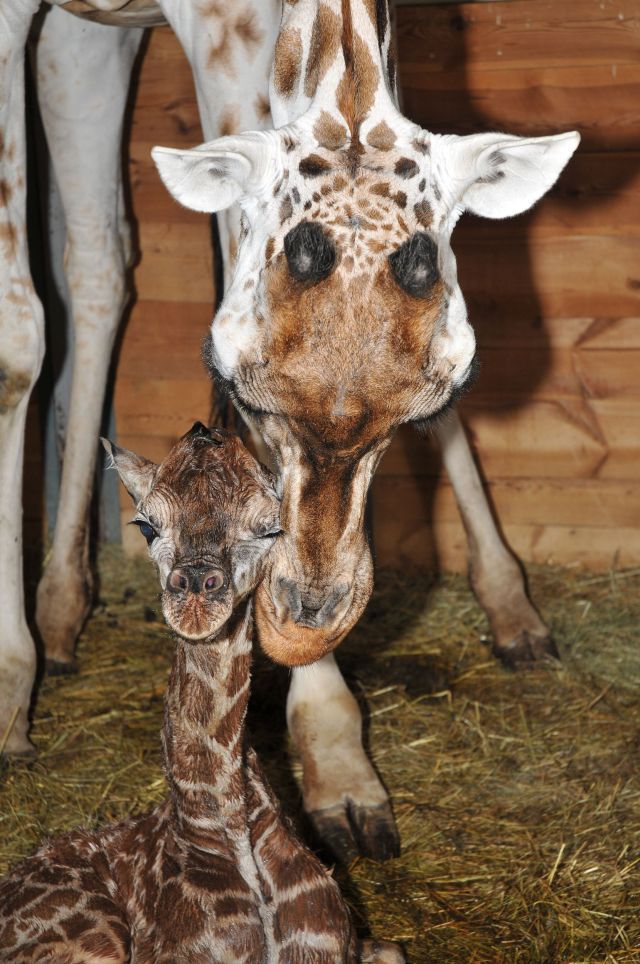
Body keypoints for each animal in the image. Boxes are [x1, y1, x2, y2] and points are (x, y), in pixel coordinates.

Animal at [0, 0, 576, 860]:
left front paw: (340, 761)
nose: (307, 616)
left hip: (93, 35)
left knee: (99, 264)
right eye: (236, 380)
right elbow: (16, 341)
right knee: (79, 277)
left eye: (444, 391)